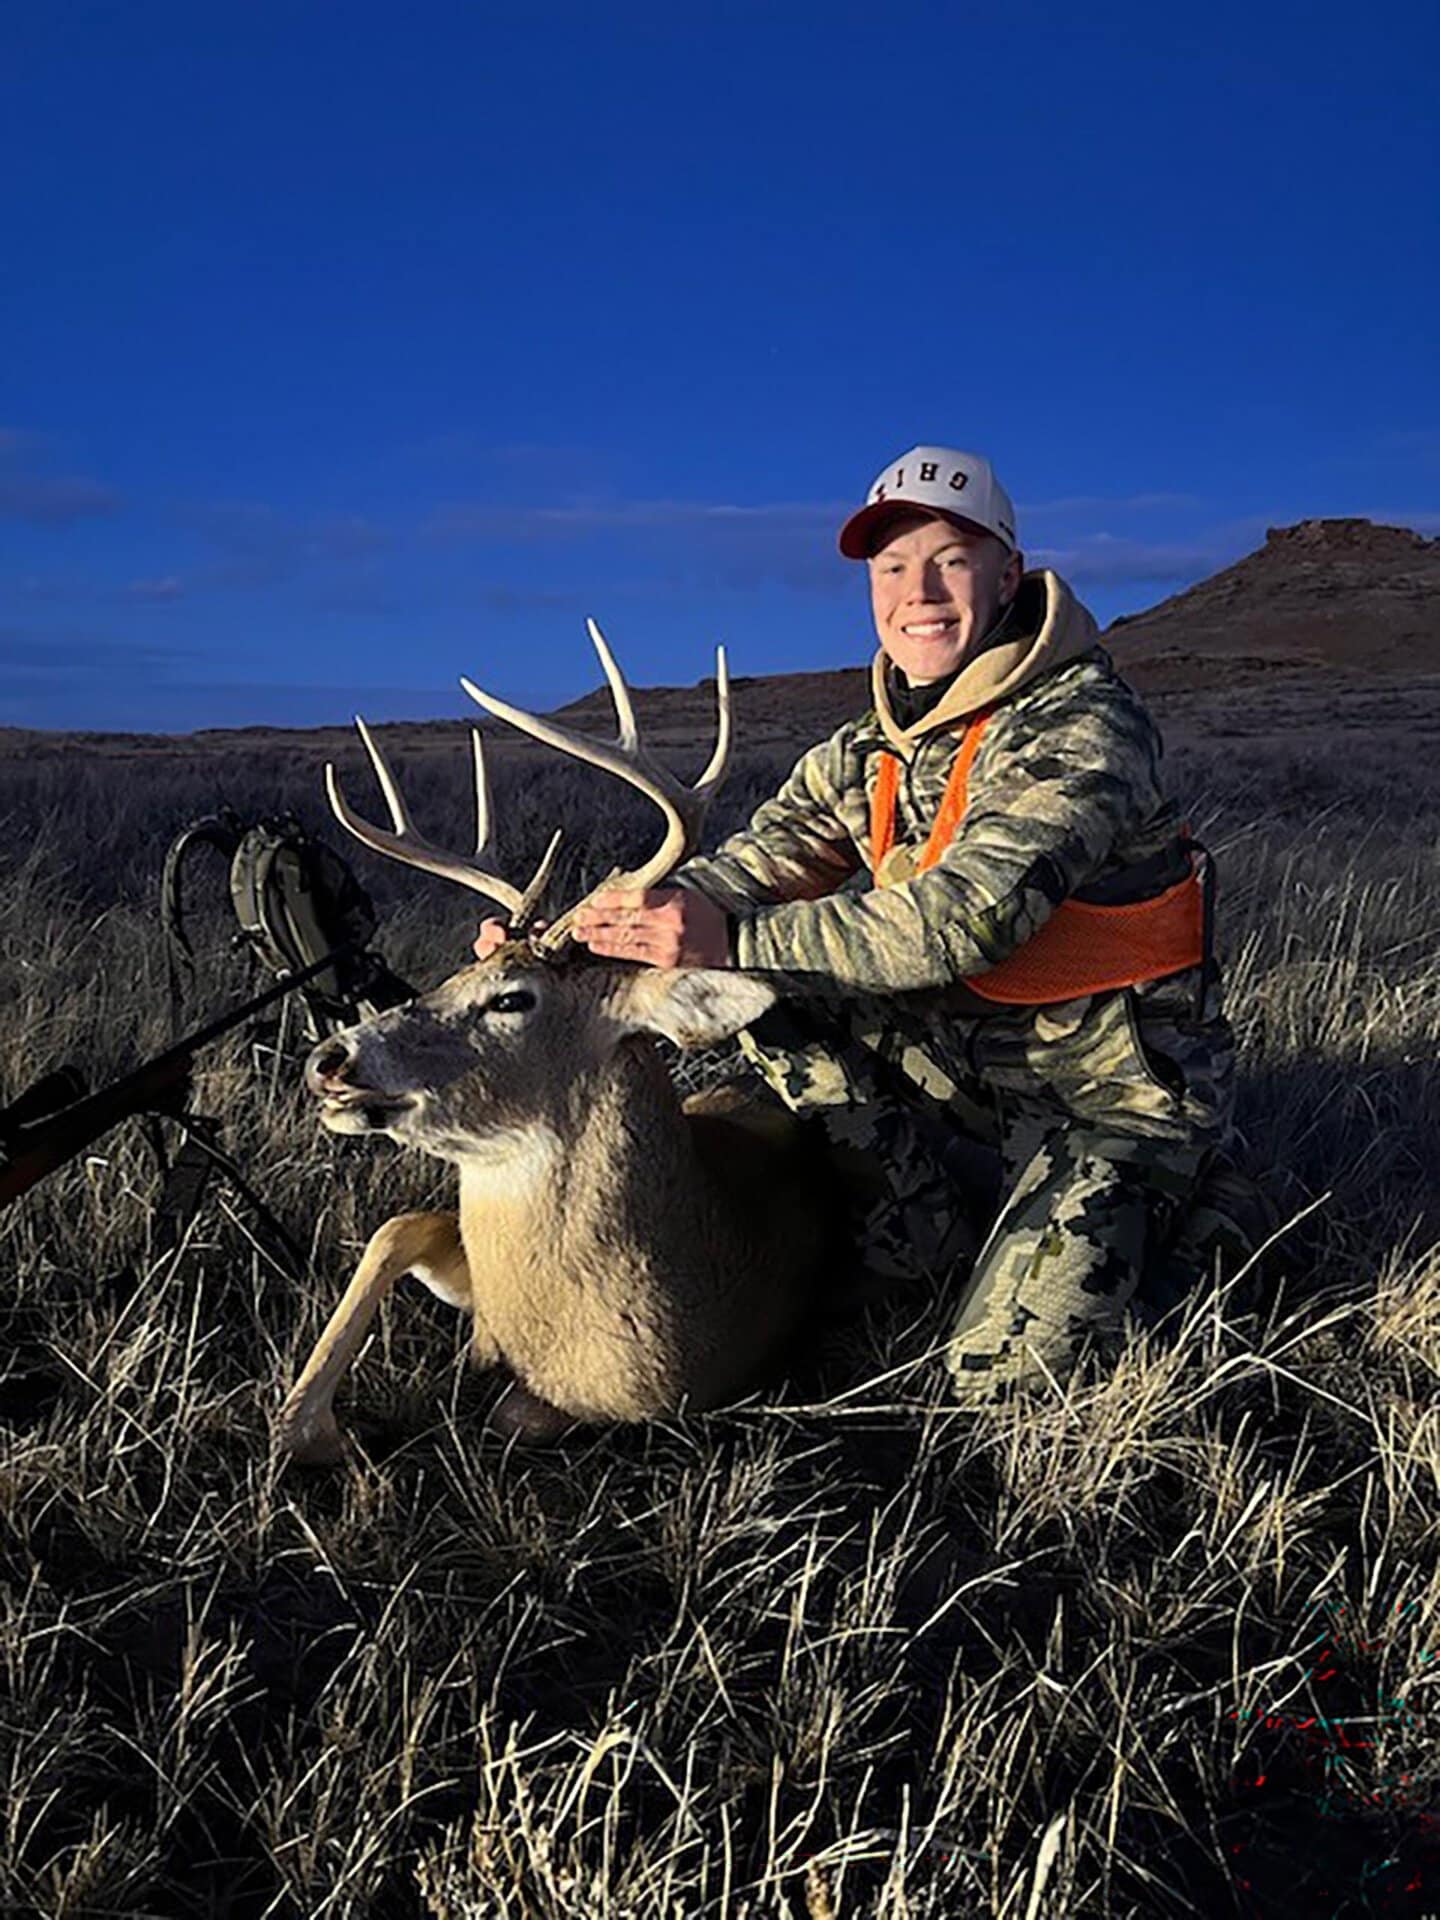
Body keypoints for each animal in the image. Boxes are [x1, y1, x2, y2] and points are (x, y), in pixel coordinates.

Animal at [278, 622, 840, 1464]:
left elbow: (512, 1411)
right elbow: (395, 1227)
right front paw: (311, 1424)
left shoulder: (658, 1404)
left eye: (513, 998)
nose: (329, 1060)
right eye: (457, 969)